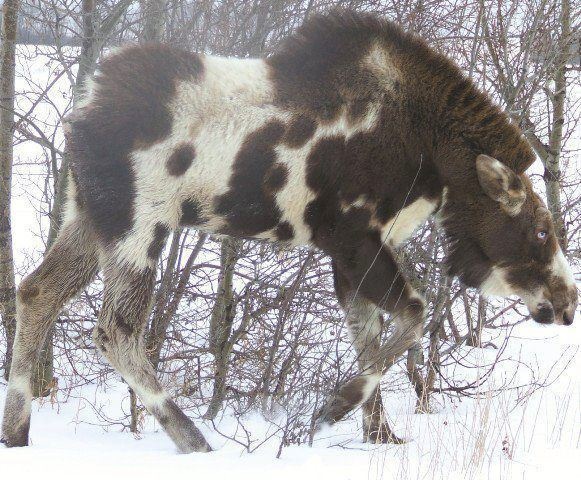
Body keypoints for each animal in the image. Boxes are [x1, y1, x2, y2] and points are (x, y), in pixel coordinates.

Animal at [3, 12, 576, 454]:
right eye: (540, 231)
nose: (568, 301)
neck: (436, 161)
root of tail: (79, 114)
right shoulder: (351, 237)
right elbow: (414, 315)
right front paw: (332, 409)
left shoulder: (351, 253)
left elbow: (370, 339)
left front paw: (378, 434)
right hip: (139, 225)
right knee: (115, 330)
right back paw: (193, 439)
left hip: (86, 217)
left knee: (36, 292)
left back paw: (17, 431)